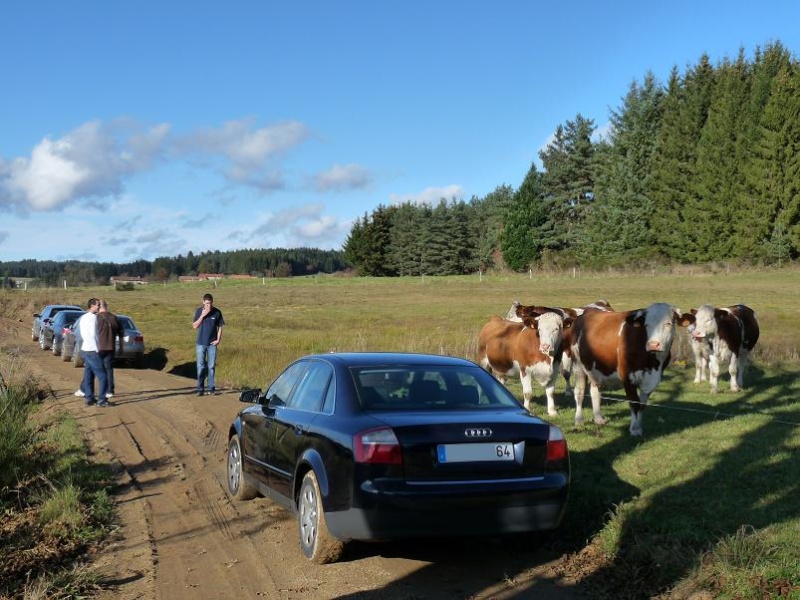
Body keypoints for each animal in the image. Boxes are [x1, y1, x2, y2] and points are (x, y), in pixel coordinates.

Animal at [568, 304, 680, 436]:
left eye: (668, 323)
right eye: (647, 324)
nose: (653, 344)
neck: (653, 361)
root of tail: (587, 311)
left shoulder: (652, 380)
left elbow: (642, 405)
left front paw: (639, 426)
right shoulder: (628, 377)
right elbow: (634, 403)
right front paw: (635, 429)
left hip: (595, 368)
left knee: (595, 390)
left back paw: (598, 418)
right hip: (578, 365)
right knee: (579, 392)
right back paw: (579, 421)